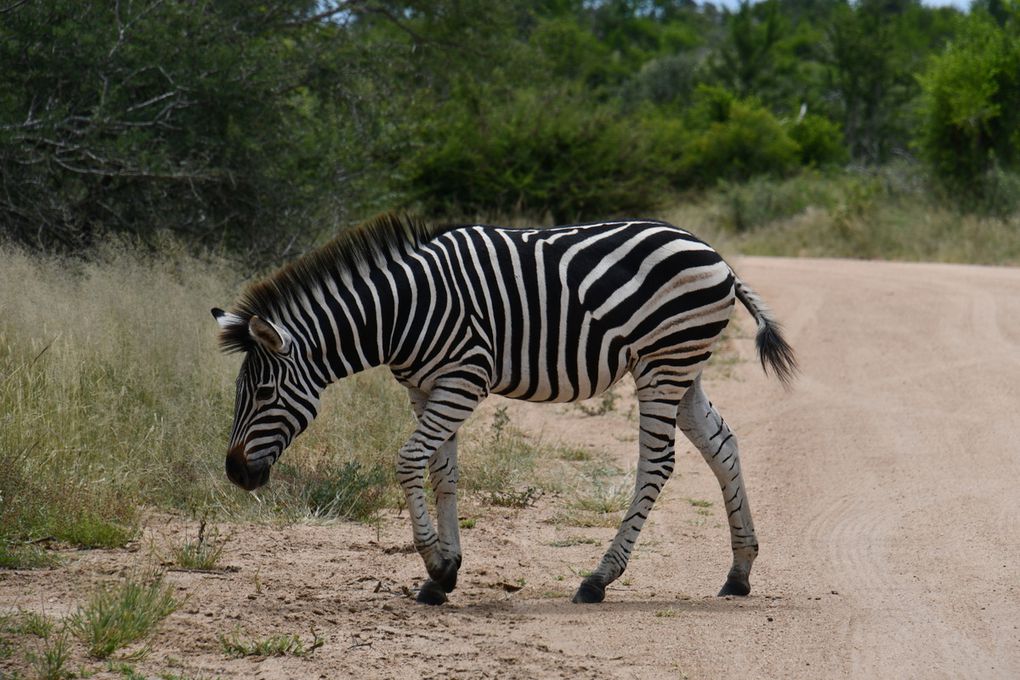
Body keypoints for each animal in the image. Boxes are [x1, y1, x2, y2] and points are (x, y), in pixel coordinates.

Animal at [209, 214, 795, 607]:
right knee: (722, 445)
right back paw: (739, 572)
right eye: (240, 394)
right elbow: (442, 472)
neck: (399, 313)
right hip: (682, 367)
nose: (235, 472)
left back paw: (598, 579)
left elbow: (407, 461)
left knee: (658, 462)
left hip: (662, 364)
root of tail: (712, 252)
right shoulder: (426, 387)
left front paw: (435, 564)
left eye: (264, 395)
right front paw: (443, 573)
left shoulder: (463, 380)